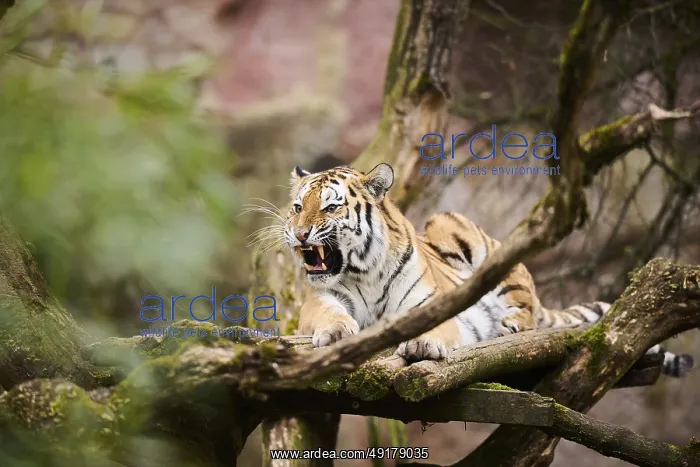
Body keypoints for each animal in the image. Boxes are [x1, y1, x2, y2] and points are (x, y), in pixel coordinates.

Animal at [281, 162, 694, 377]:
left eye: (331, 207)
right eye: (298, 207)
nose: (299, 233)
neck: (363, 272)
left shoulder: (427, 305)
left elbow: (432, 328)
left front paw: (421, 344)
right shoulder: (323, 298)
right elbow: (328, 314)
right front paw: (337, 334)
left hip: (464, 232)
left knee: (525, 308)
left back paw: (510, 325)